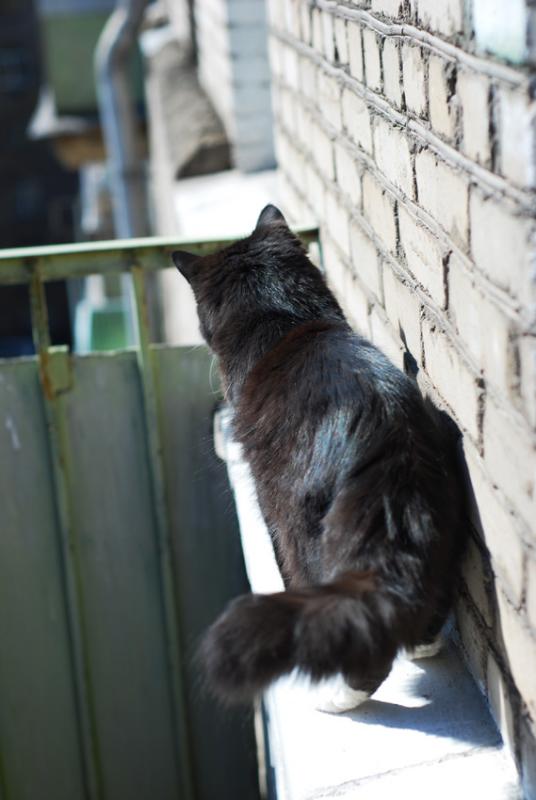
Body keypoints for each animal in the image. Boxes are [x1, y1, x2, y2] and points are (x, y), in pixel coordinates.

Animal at [172, 208, 464, 712]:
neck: (284, 321)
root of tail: (385, 430)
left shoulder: (269, 502)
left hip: (301, 520)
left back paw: (336, 695)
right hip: (436, 508)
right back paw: (422, 645)